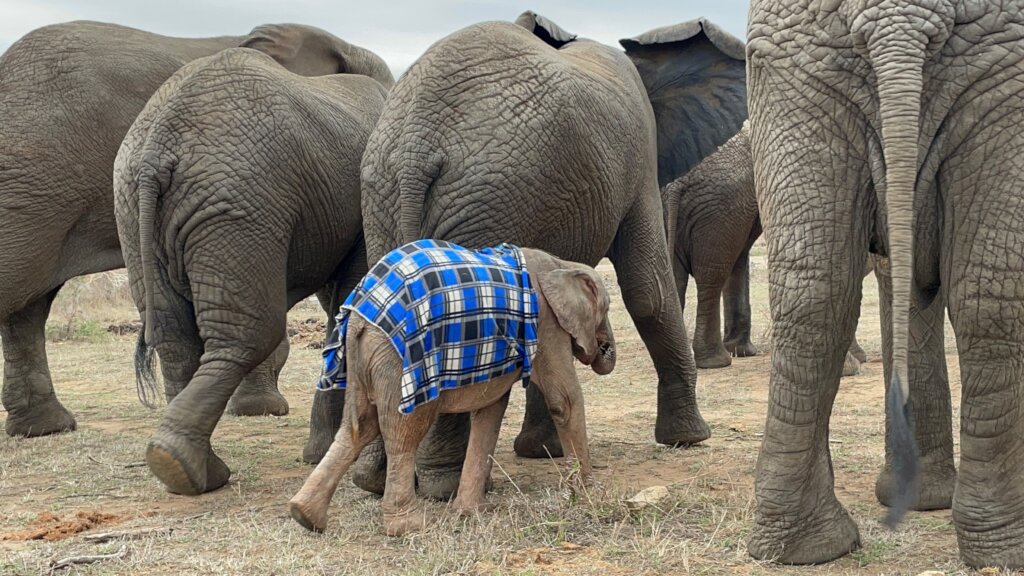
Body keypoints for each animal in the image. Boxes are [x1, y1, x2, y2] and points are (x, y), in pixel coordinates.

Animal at [113, 46, 392, 495]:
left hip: (135, 204)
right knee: (249, 334)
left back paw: (185, 470)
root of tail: (158, 144)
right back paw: (186, 467)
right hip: (237, 201)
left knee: (175, 339)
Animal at [289, 244, 612, 536]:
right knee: (404, 433)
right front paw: (591, 497)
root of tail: (358, 319)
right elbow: (564, 400)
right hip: (402, 362)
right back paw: (408, 527)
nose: (604, 349)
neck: (561, 264)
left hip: (367, 359)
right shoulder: (546, 322)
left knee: (357, 428)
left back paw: (305, 516)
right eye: (606, 308)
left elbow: (490, 411)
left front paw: (472, 512)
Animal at [302, 12, 750, 501]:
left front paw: (541, 452)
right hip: (486, 197)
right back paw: (445, 484)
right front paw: (691, 438)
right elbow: (648, 290)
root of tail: (415, 146)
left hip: (384, 194)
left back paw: (376, 480)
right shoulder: (639, 158)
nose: (604, 352)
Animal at [746, 0, 1021, 568]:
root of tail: (897, 16)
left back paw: (799, 549)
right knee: (988, 295)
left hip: (798, 74)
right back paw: (1002, 550)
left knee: (815, 290)